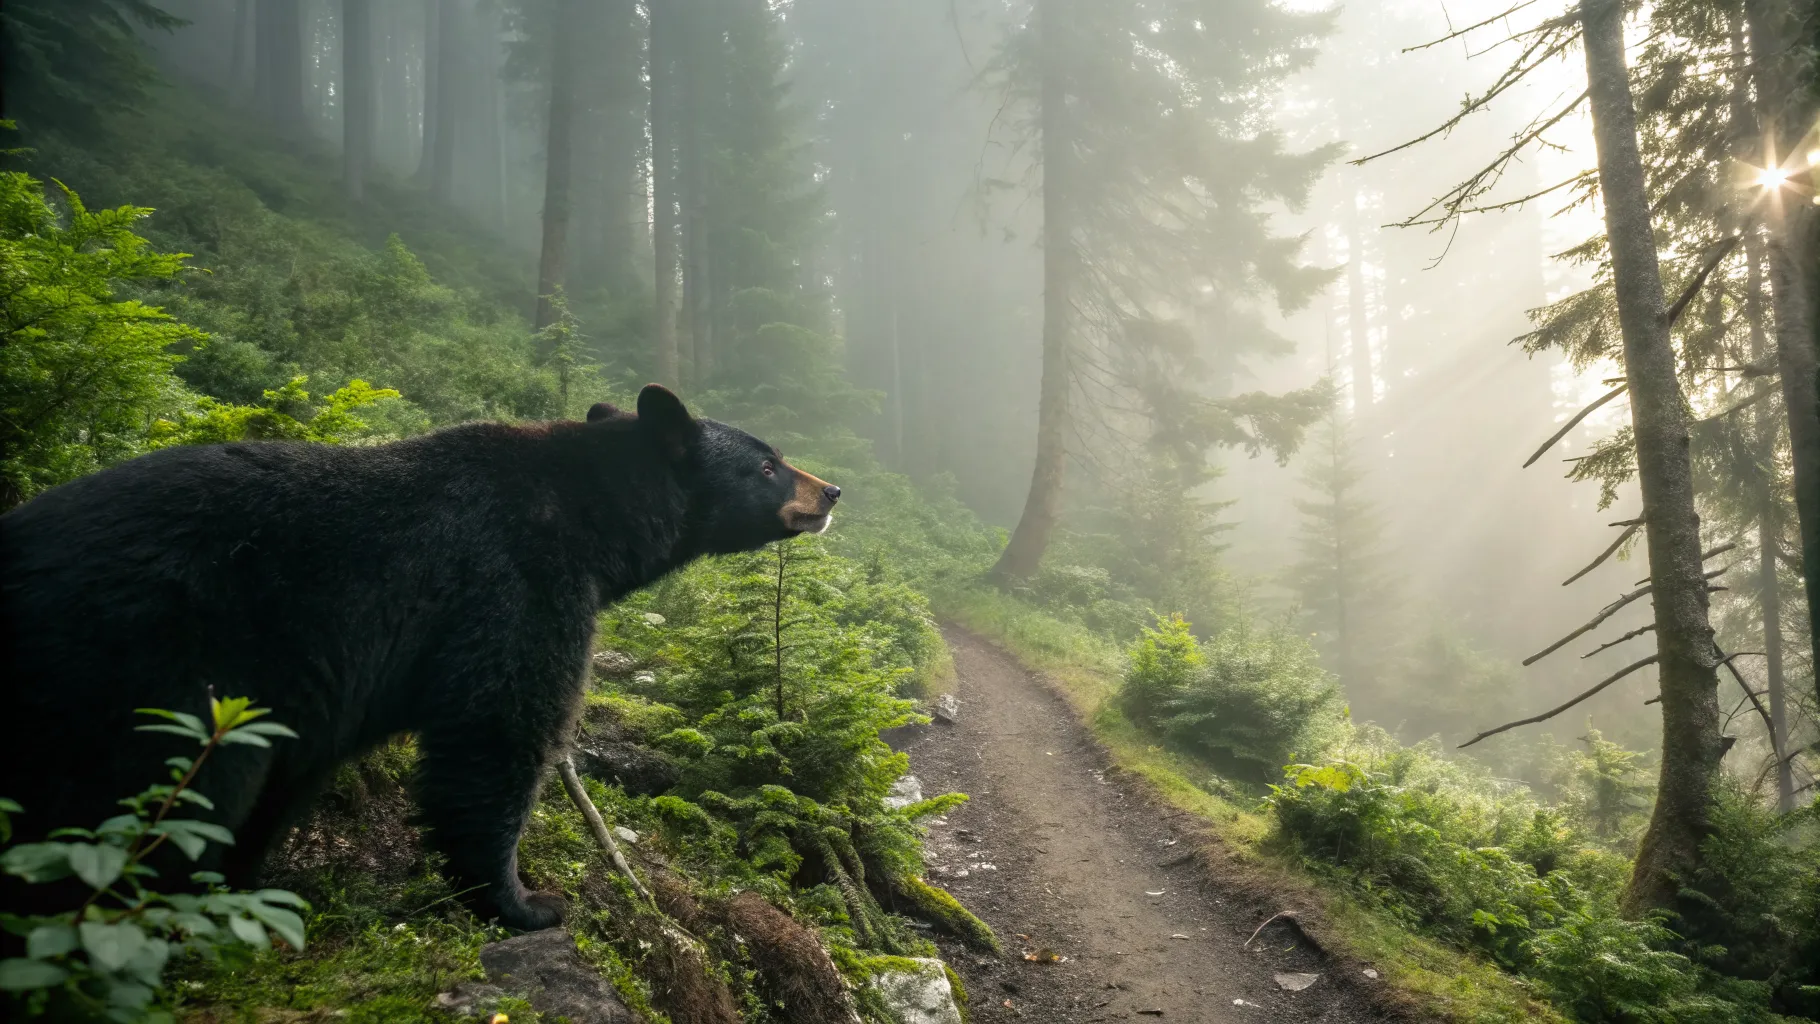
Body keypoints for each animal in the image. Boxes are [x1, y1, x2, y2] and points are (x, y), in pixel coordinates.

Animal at [0, 384, 839, 930]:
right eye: (768, 464)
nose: (831, 490)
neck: (591, 516)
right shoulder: (515, 581)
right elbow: (497, 728)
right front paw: (522, 901)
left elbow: (299, 776)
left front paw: (250, 888)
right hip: (146, 664)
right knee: (150, 797)